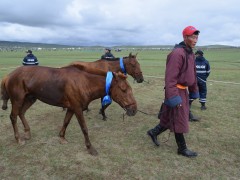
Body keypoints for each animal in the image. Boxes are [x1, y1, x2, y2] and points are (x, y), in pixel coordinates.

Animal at [0, 64, 137, 155]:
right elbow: (84, 128)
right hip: (17, 100)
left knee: (21, 113)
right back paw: (19, 139)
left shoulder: (71, 108)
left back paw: (27, 133)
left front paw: (62, 138)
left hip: (30, 98)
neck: (84, 82)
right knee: (13, 117)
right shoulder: (77, 108)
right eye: (124, 89)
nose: (134, 109)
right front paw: (90, 147)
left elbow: (66, 122)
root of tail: (9, 76)